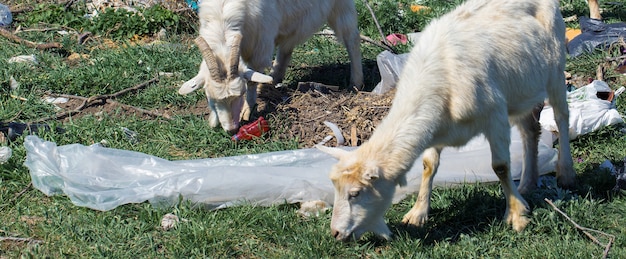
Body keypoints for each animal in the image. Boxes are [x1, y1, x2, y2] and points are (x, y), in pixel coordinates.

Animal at [177, 0, 360, 133]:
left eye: (240, 94)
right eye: (211, 97)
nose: (231, 129)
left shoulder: (260, 44)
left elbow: (252, 79)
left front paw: (247, 110)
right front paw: (213, 119)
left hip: (341, 5)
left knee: (352, 37)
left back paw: (356, 82)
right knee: (287, 47)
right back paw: (274, 78)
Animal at [316, 0, 576, 242]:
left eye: (355, 193)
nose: (335, 233)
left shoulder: (496, 116)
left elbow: (501, 167)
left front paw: (516, 214)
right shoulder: (437, 129)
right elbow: (428, 165)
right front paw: (417, 213)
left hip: (555, 69)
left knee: (562, 117)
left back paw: (565, 173)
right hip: (522, 91)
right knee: (530, 130)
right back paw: (527, 183)